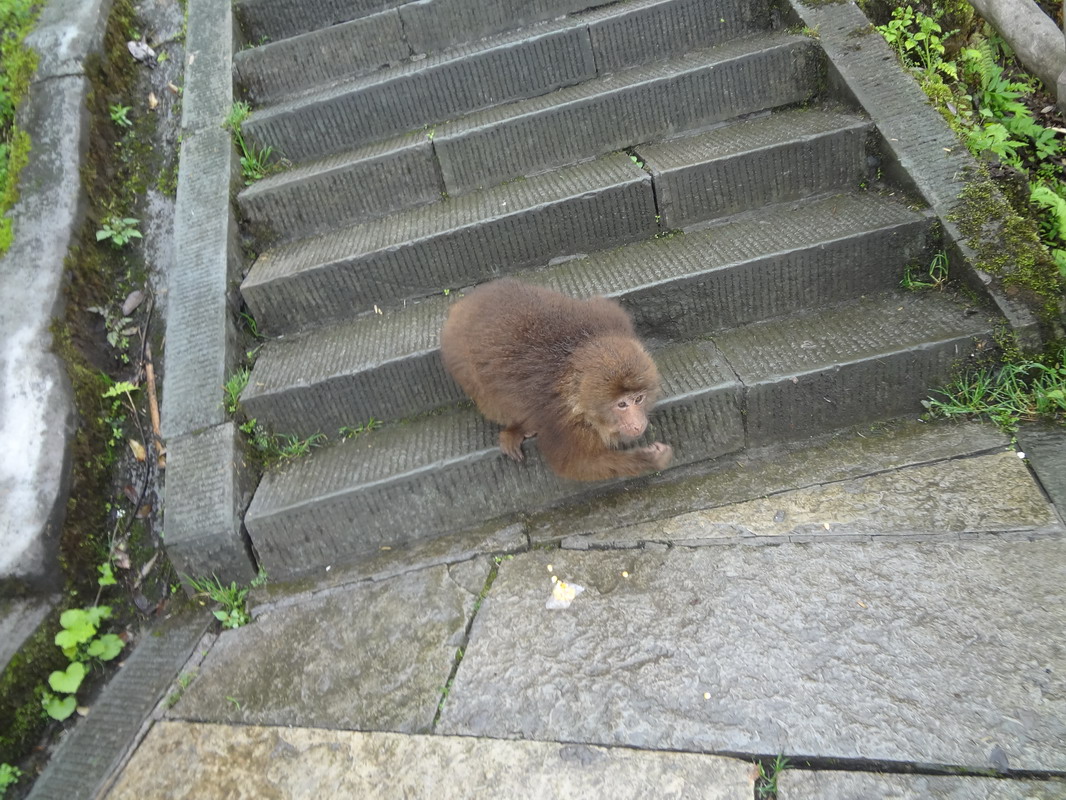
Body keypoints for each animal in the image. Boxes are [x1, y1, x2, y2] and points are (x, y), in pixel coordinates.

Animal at [441, 279, 673, 482]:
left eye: (639, 399)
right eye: (622, 404)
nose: (637, 424)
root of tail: (465, 303)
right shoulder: (562, 420)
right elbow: (575, 465)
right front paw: (650, 459)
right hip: (460, 357)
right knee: (492, 401)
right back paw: (516, 427)